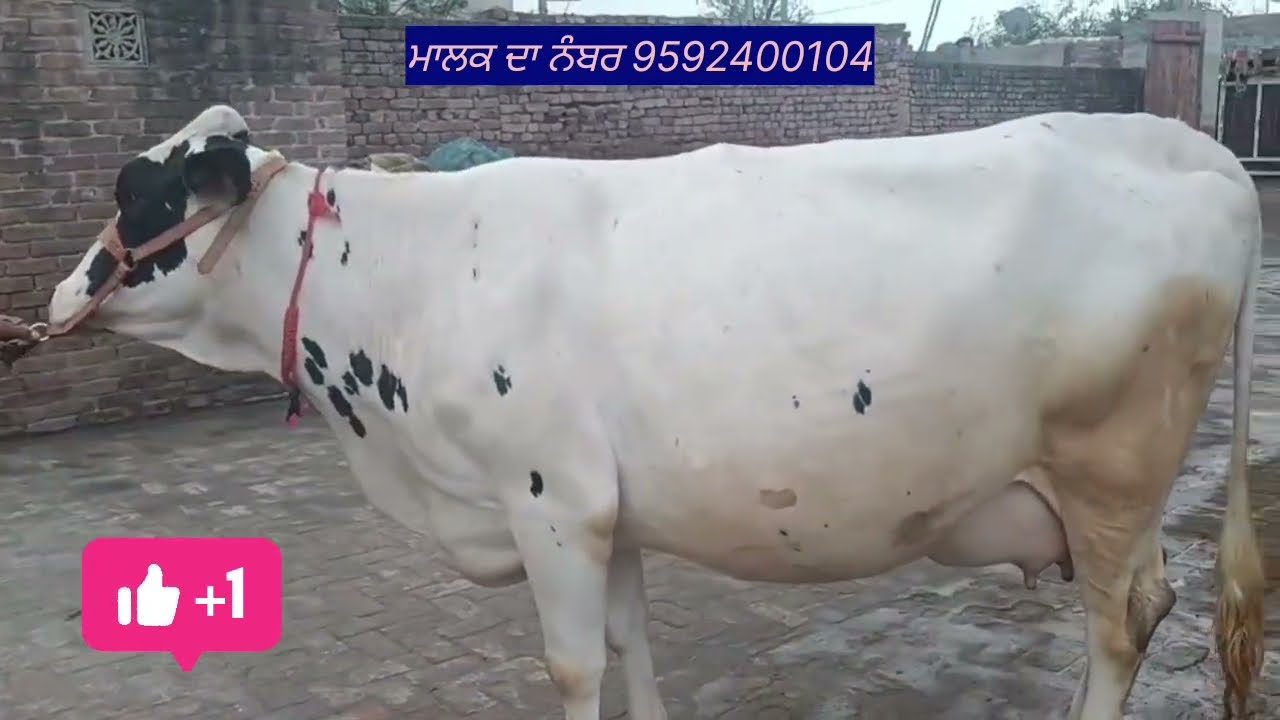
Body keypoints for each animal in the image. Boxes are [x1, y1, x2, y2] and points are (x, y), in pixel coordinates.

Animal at [44, 104, 1265, 720]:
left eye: (137, 194)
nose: (55, 300)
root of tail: (1191, 144)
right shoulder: (604, 507)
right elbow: (630, 641)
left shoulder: (546, 501)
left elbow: (573, 667)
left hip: (1109, 476)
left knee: (1121, 627)